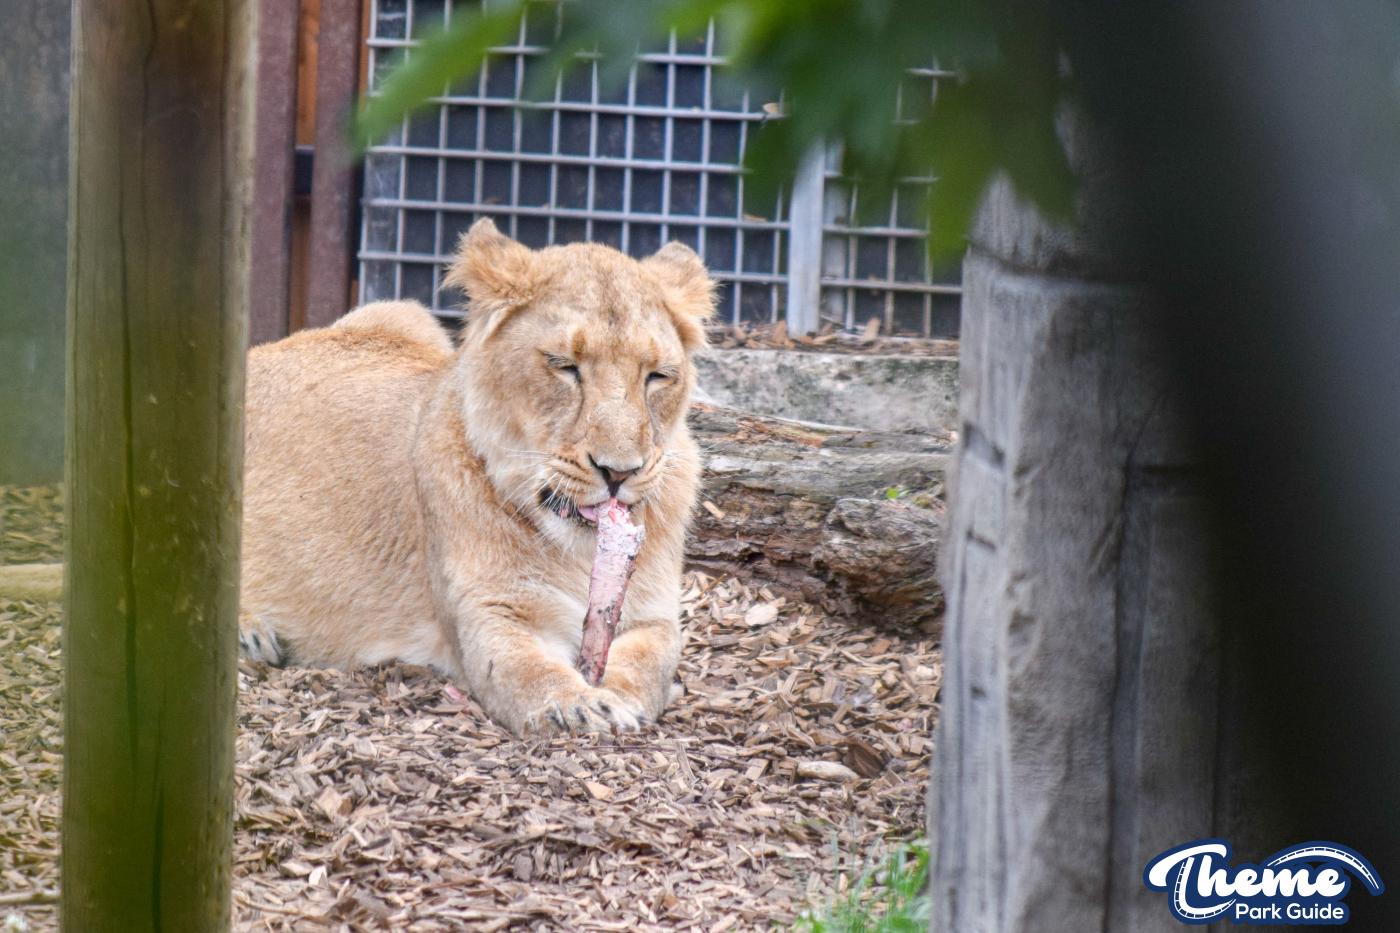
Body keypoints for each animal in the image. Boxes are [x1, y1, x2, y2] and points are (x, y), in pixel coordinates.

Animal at [238, 218, 713, 734]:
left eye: (658, 375)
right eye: (564, 366)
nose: (619, 472)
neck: (578, 552)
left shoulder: (654, 615)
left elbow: (650, 665)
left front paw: (619, 698)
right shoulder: (492, 615)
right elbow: (530, 672)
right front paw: (582, 707)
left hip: (402, 314)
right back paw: (249, 632)